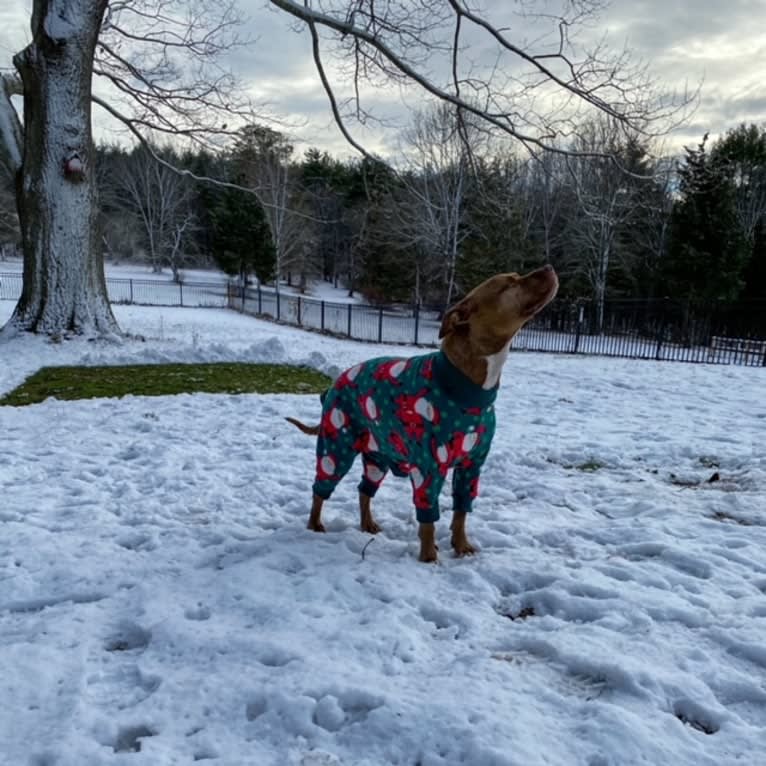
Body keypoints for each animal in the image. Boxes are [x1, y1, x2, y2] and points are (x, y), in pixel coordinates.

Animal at [286, 268, 560, 560]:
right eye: (509, 283)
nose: (549, 268)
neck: (468, 386)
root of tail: (335, 383)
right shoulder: (429, 468)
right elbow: (428, 517)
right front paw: (429, 557)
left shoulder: (471, 466)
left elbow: (462, 510)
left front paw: (461, 546)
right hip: (337, 444)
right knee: (320, 489)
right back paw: (314, 525)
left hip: (377, 456)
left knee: (364, 490)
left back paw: (367, 523)